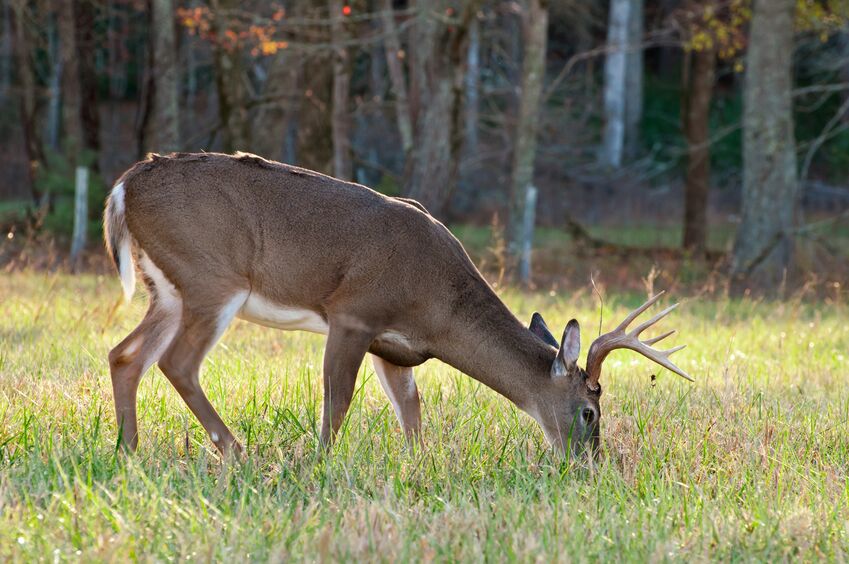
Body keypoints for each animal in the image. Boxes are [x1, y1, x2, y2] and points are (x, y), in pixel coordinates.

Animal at [102, 151, 692, 458]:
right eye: (590, 411)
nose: (588, 464)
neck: (439, 308)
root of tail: (123, 187)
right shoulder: (353, 313)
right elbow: (337, 401)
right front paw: (318, 464)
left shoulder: (395, 348)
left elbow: (412, 413)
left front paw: (418, 468)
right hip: (211, 278)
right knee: (177, 362)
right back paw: (236, 449)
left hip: (168, 290)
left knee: (125, 355)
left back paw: (128, 450)